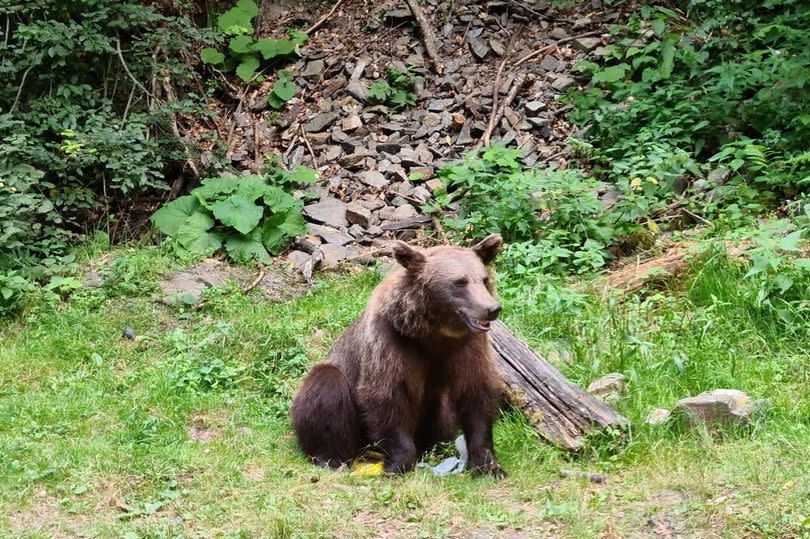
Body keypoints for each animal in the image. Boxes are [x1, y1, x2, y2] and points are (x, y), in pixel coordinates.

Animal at [290, 234, 504, 478]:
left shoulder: (467, 346)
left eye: (484, 279)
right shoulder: (391, 341)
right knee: (326, 385)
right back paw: (330, 458)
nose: (492, 308)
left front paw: (488, 465)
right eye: (460, 282)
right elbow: (386, 395)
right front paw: (398, 464)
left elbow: (476, 395)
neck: (434, 332)